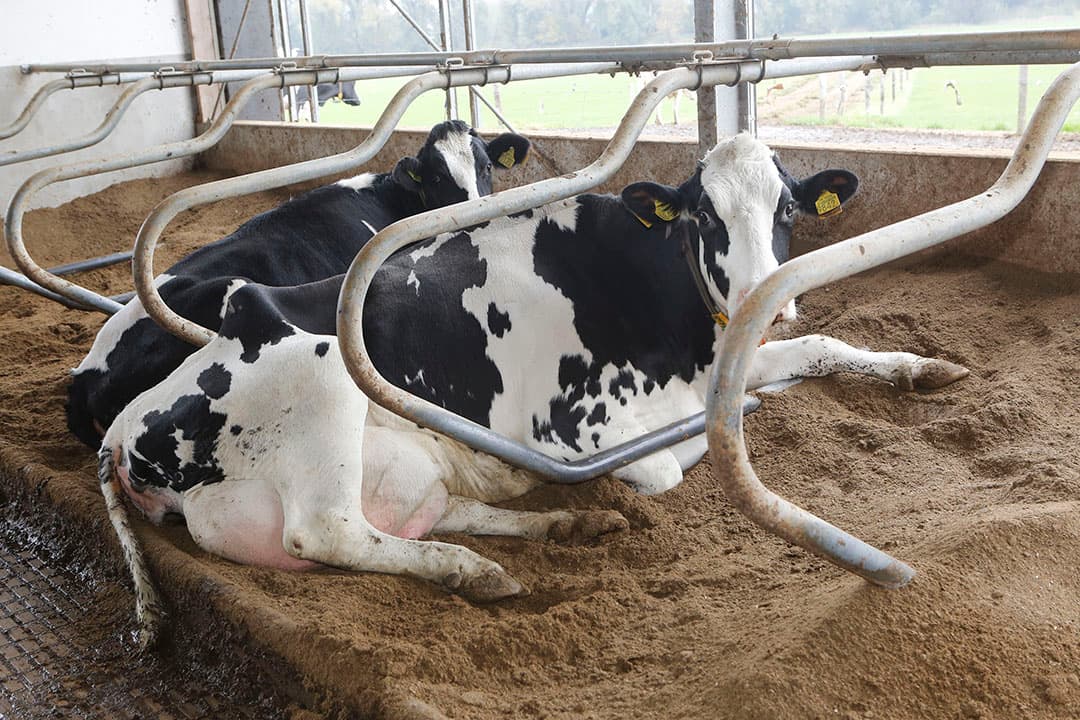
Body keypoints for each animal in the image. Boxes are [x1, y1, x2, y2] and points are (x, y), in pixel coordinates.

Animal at [99, 134, 968, 644]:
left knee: (425, 511)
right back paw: (472, 567)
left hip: (398, 464)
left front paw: (919, 368)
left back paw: (553, 529)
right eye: (703, 217)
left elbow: (818, 347)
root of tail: (123, 428)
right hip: (319, 380)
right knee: (326, 532)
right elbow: (672, 456)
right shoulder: (576, 429)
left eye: (786, 206)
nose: (766, 294)